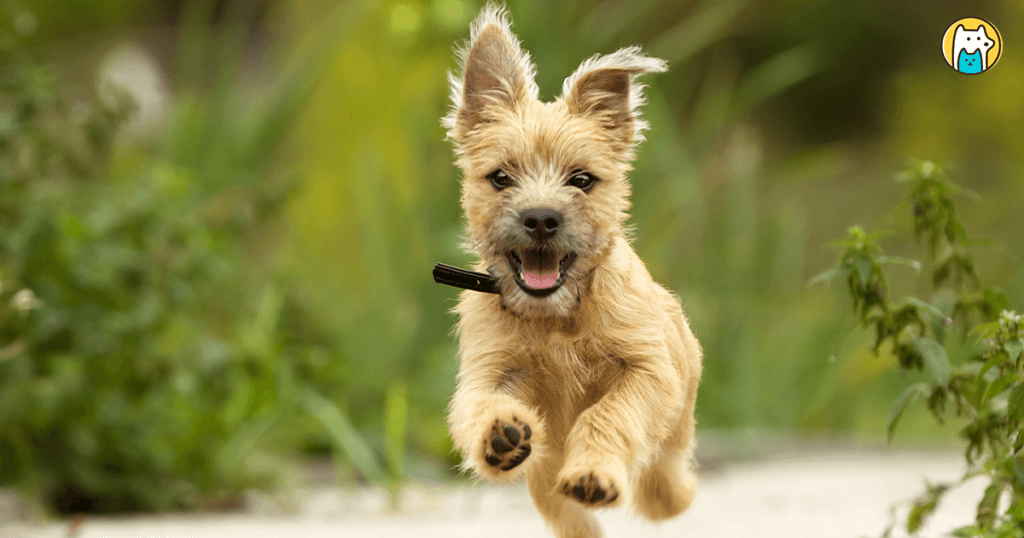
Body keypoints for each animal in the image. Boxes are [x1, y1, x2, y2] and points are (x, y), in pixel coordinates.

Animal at [440, 5, 704, 536]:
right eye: (500, 177)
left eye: (582, 180)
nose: (541, 218)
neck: (556, 318)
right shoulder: (490, 368)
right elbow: (480, 403)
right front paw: (499, 433)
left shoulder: (647, 371)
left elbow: (608, 414)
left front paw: (594, 473)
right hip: (544, 483)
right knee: (569, 517)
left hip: (676, 419)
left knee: (664, 480)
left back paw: (669, 494)